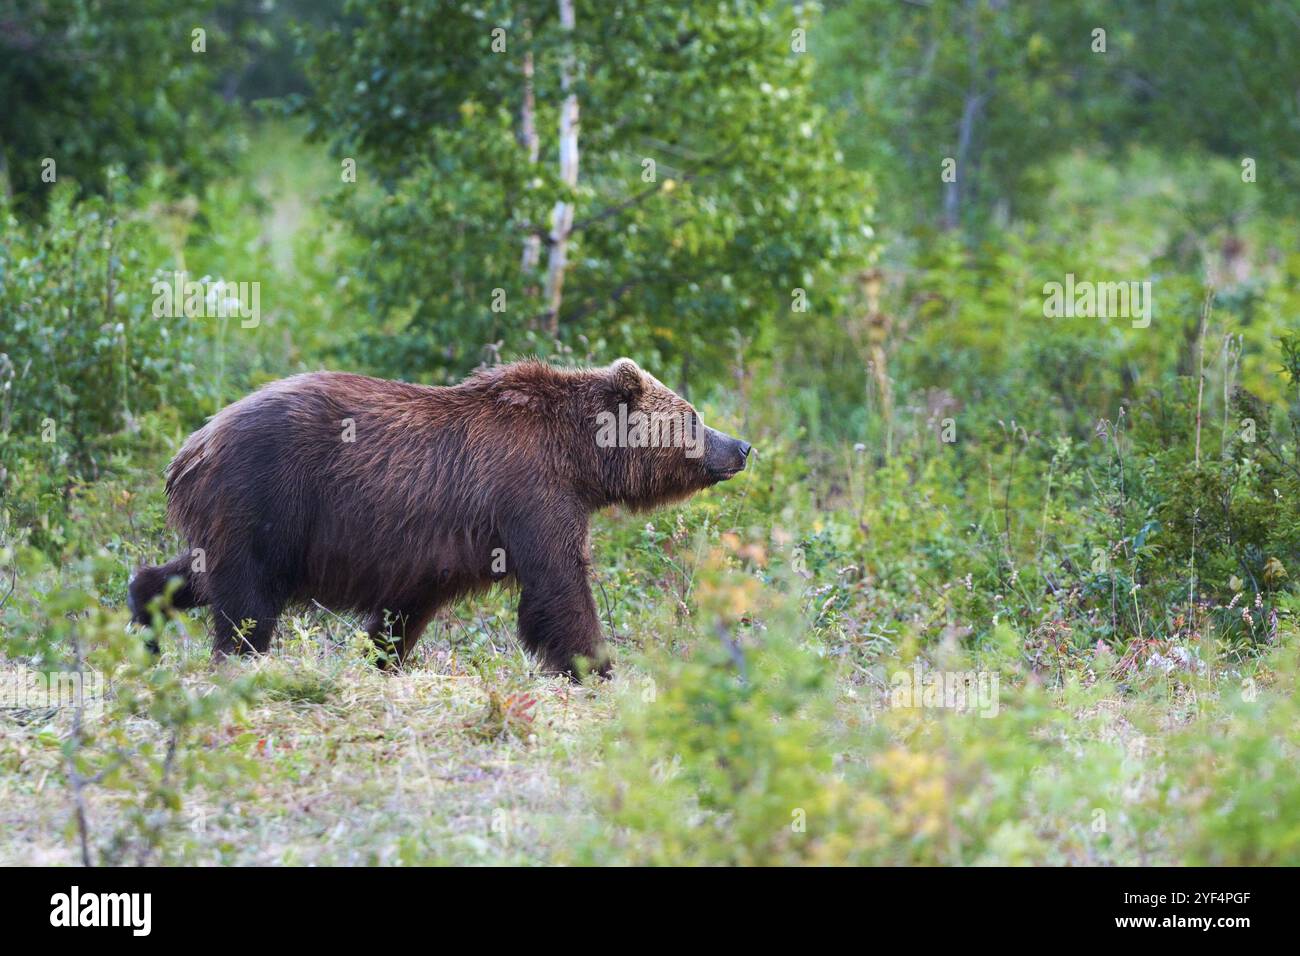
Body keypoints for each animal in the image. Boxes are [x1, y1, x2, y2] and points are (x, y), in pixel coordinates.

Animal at [130, 358, 754, 681]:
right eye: (693, 417)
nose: (741, 446)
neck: (580, 457)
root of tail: (193, 446)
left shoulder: (434, 546)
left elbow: (408, 605)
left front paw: (385, 658)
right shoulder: (530, 491)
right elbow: (559, 584)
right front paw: (595, 666)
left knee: (202, 573)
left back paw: (144, 611)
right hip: (269, 496)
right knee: (249, 597)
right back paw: (238, 660)